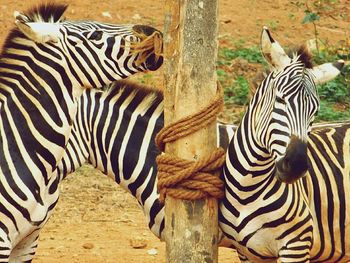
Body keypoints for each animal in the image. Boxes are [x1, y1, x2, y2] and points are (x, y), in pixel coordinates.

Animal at [219, 27, 348, 263]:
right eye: (280, 100)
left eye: (315, 111)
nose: (296, 166)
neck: (247, 188)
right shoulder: (247, 252)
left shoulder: (297, 244)